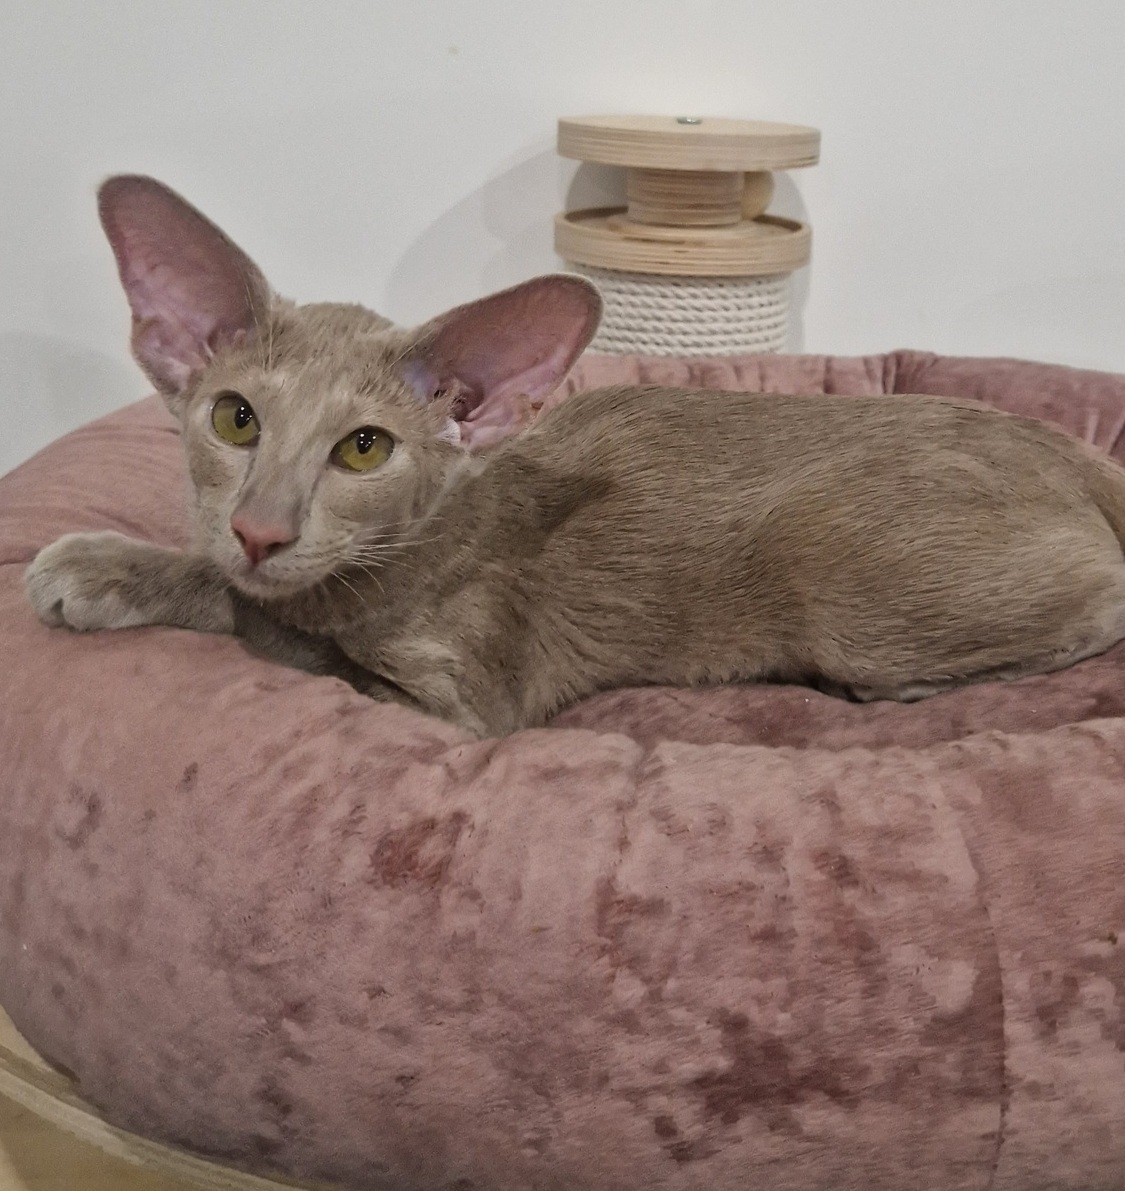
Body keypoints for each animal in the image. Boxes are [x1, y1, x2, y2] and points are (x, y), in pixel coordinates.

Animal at [24, 174, 1125, 737]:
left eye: (364, 449)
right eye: (237, 421)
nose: (259, 528)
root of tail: (1064, 447)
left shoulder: (463, 704)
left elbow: (277, 628)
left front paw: (105, 568)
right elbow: (254, 596)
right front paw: (129, 564)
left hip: (843, 582)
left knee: (1105, 596)